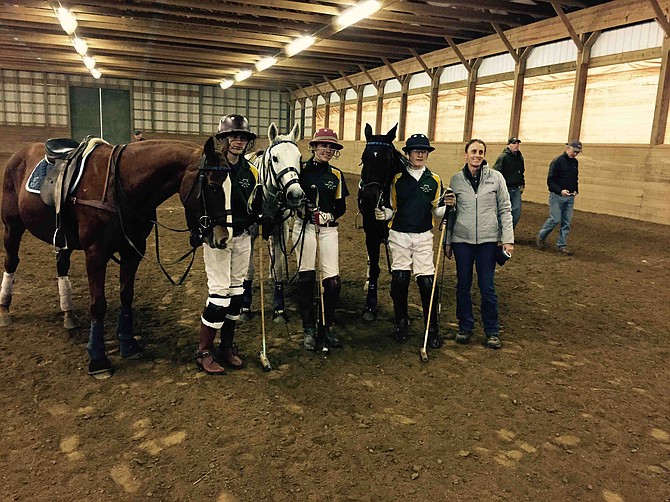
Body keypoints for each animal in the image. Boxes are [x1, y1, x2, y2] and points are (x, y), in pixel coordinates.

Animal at [0, 137, 231, 376]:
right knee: (11, 262)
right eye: (213, 187)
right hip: (12, 226)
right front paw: (98, 359)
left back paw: (68, 315)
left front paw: (128, 343)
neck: (120, 187)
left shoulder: (133, 251)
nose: (223, 237)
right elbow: (98, 304)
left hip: (62, 239)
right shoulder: (95, 254)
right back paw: (5, 310)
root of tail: (20, 154)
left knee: (61, 267)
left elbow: (126, 296)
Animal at [242, 123, 304, 324]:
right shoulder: (250, 233)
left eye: (299, 158)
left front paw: (279, 309)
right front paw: (245, 307)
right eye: (275, 158)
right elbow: (249, 270)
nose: (295, 195)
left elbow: (278, 267)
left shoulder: (280, 231)